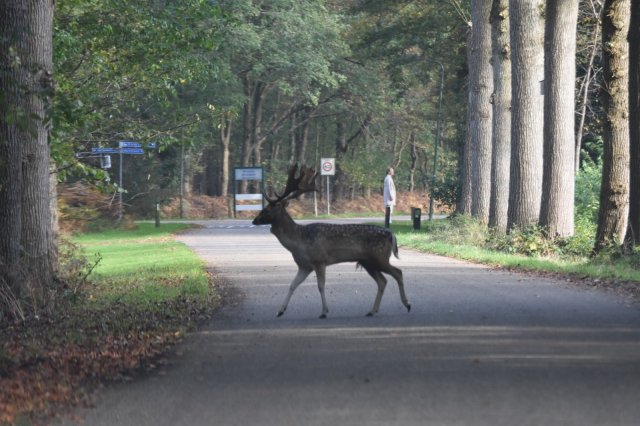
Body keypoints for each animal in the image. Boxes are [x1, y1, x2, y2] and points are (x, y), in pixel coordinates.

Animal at [252, 165, 412, 318]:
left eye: (268, 209)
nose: (254, 220)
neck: (298, 242)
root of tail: (391, 234)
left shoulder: (319, 260)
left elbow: (320, 286)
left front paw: (324, 312)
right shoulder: (304, 266)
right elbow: (292, 285)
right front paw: (280, 311)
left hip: (379, 256)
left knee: (398, 272)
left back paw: (407, 304)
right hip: (368, 262)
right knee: (382, 281)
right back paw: (372, 311)